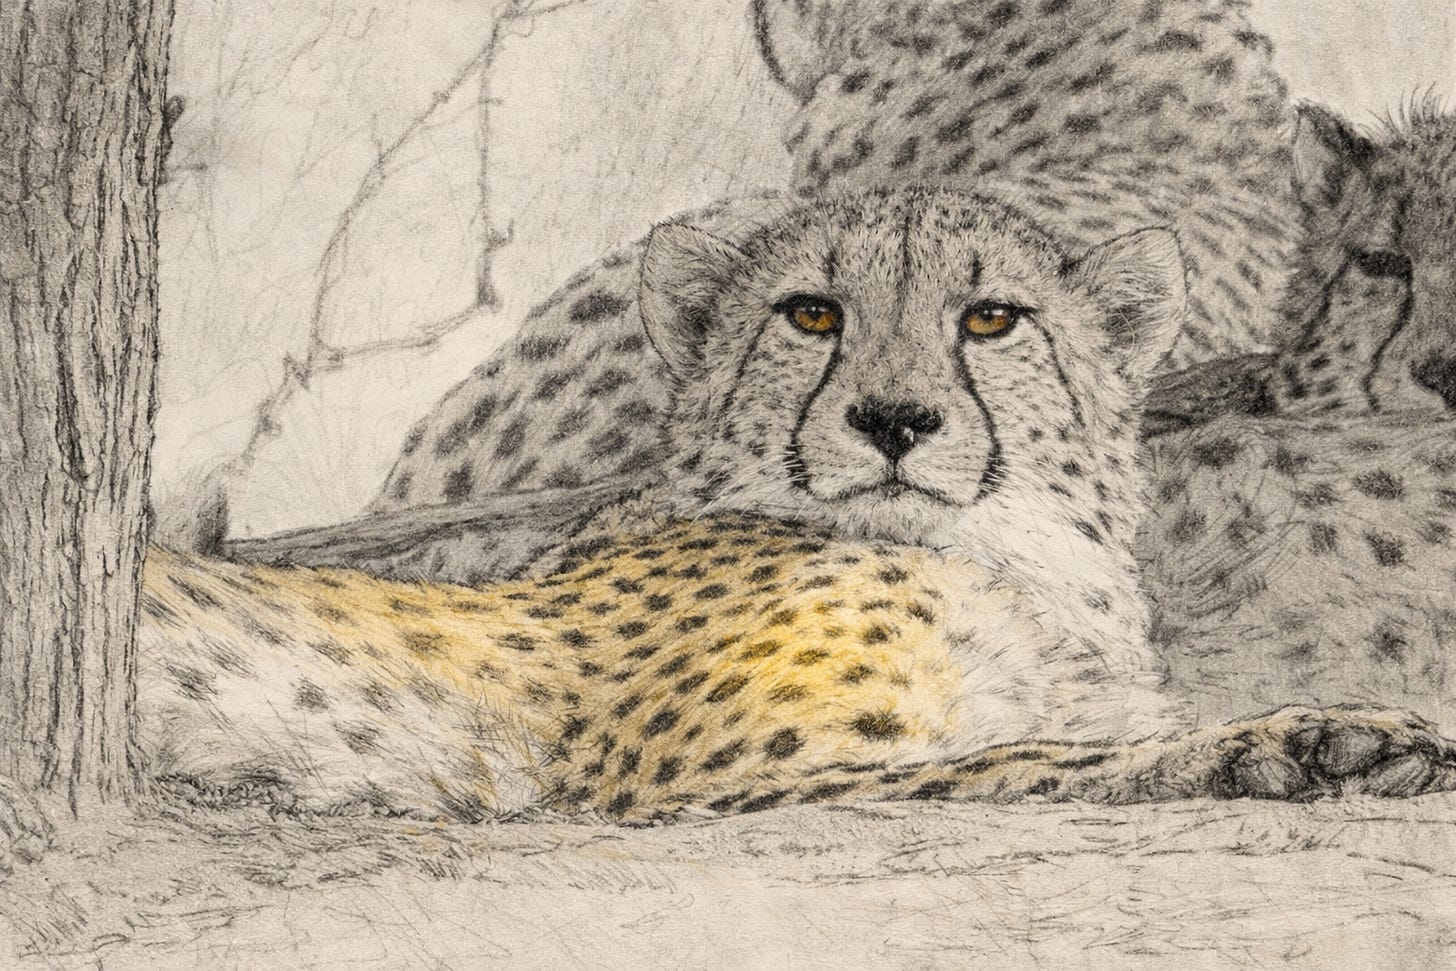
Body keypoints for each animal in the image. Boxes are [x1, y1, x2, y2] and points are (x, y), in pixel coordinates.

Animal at [142, 188, 1456, 820]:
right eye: (811, 313)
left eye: (991, 317)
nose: (894, 419)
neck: (1008, 554)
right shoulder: (695, 782)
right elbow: (1032, 756)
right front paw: (1306, 741)